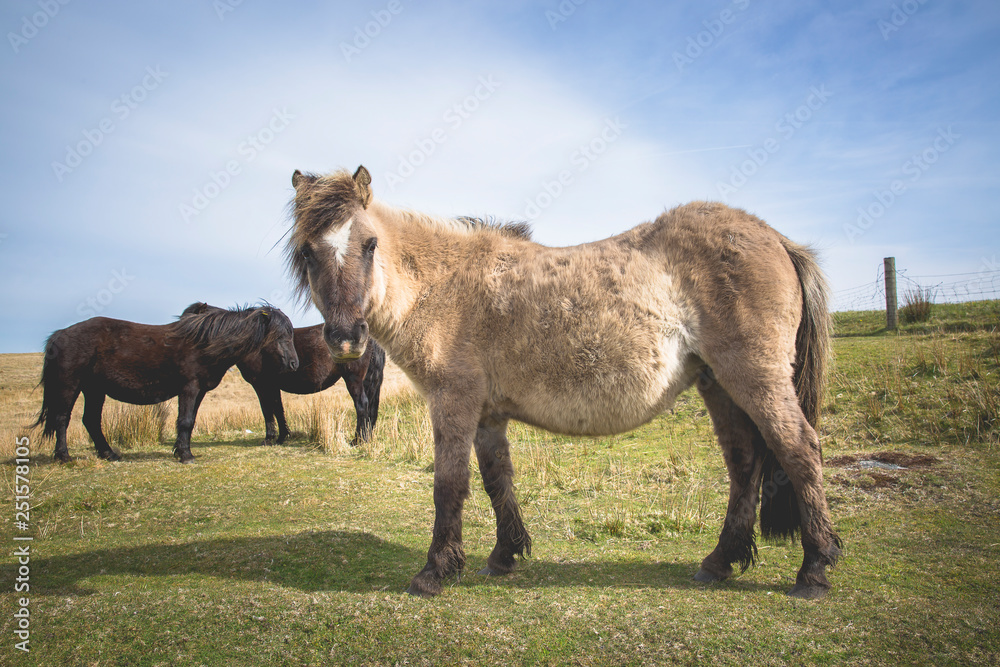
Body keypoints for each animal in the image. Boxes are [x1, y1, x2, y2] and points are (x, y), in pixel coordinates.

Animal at [33, 303, 298, 463]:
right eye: (280, 336)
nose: (294, 364)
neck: (205, 344)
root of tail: (60, 334)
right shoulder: (189, 388)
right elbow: (185, 421)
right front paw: (185, 455)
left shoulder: (199, 391)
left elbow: (189, 422)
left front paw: (181, 450)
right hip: (70, 385)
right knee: (62, 419)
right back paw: (64, 456)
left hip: (94, 389)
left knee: (90, 420)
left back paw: (109, 454)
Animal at [182, 303, 386, 446]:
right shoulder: (272, 385)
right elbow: (278, 409)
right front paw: (282, 437)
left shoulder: (261, 384)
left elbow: (267, 410)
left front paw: (269, 438)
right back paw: (366, 437)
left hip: (353, 378)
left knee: (362, 405)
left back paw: (357, 440)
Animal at [285, 165, 842, 600]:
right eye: (309, 253)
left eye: (369, 244)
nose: (346, 337)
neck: (447, 287)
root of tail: (774, 236)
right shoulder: (487, 415)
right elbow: (497, 480)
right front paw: (504, 555)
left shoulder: (453, 402)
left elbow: (449, 485)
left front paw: (434, 571)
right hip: (719, 385)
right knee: (745, 464)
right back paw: (719, 562)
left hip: (754, 378)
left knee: (798, 450)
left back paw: (813, 570)